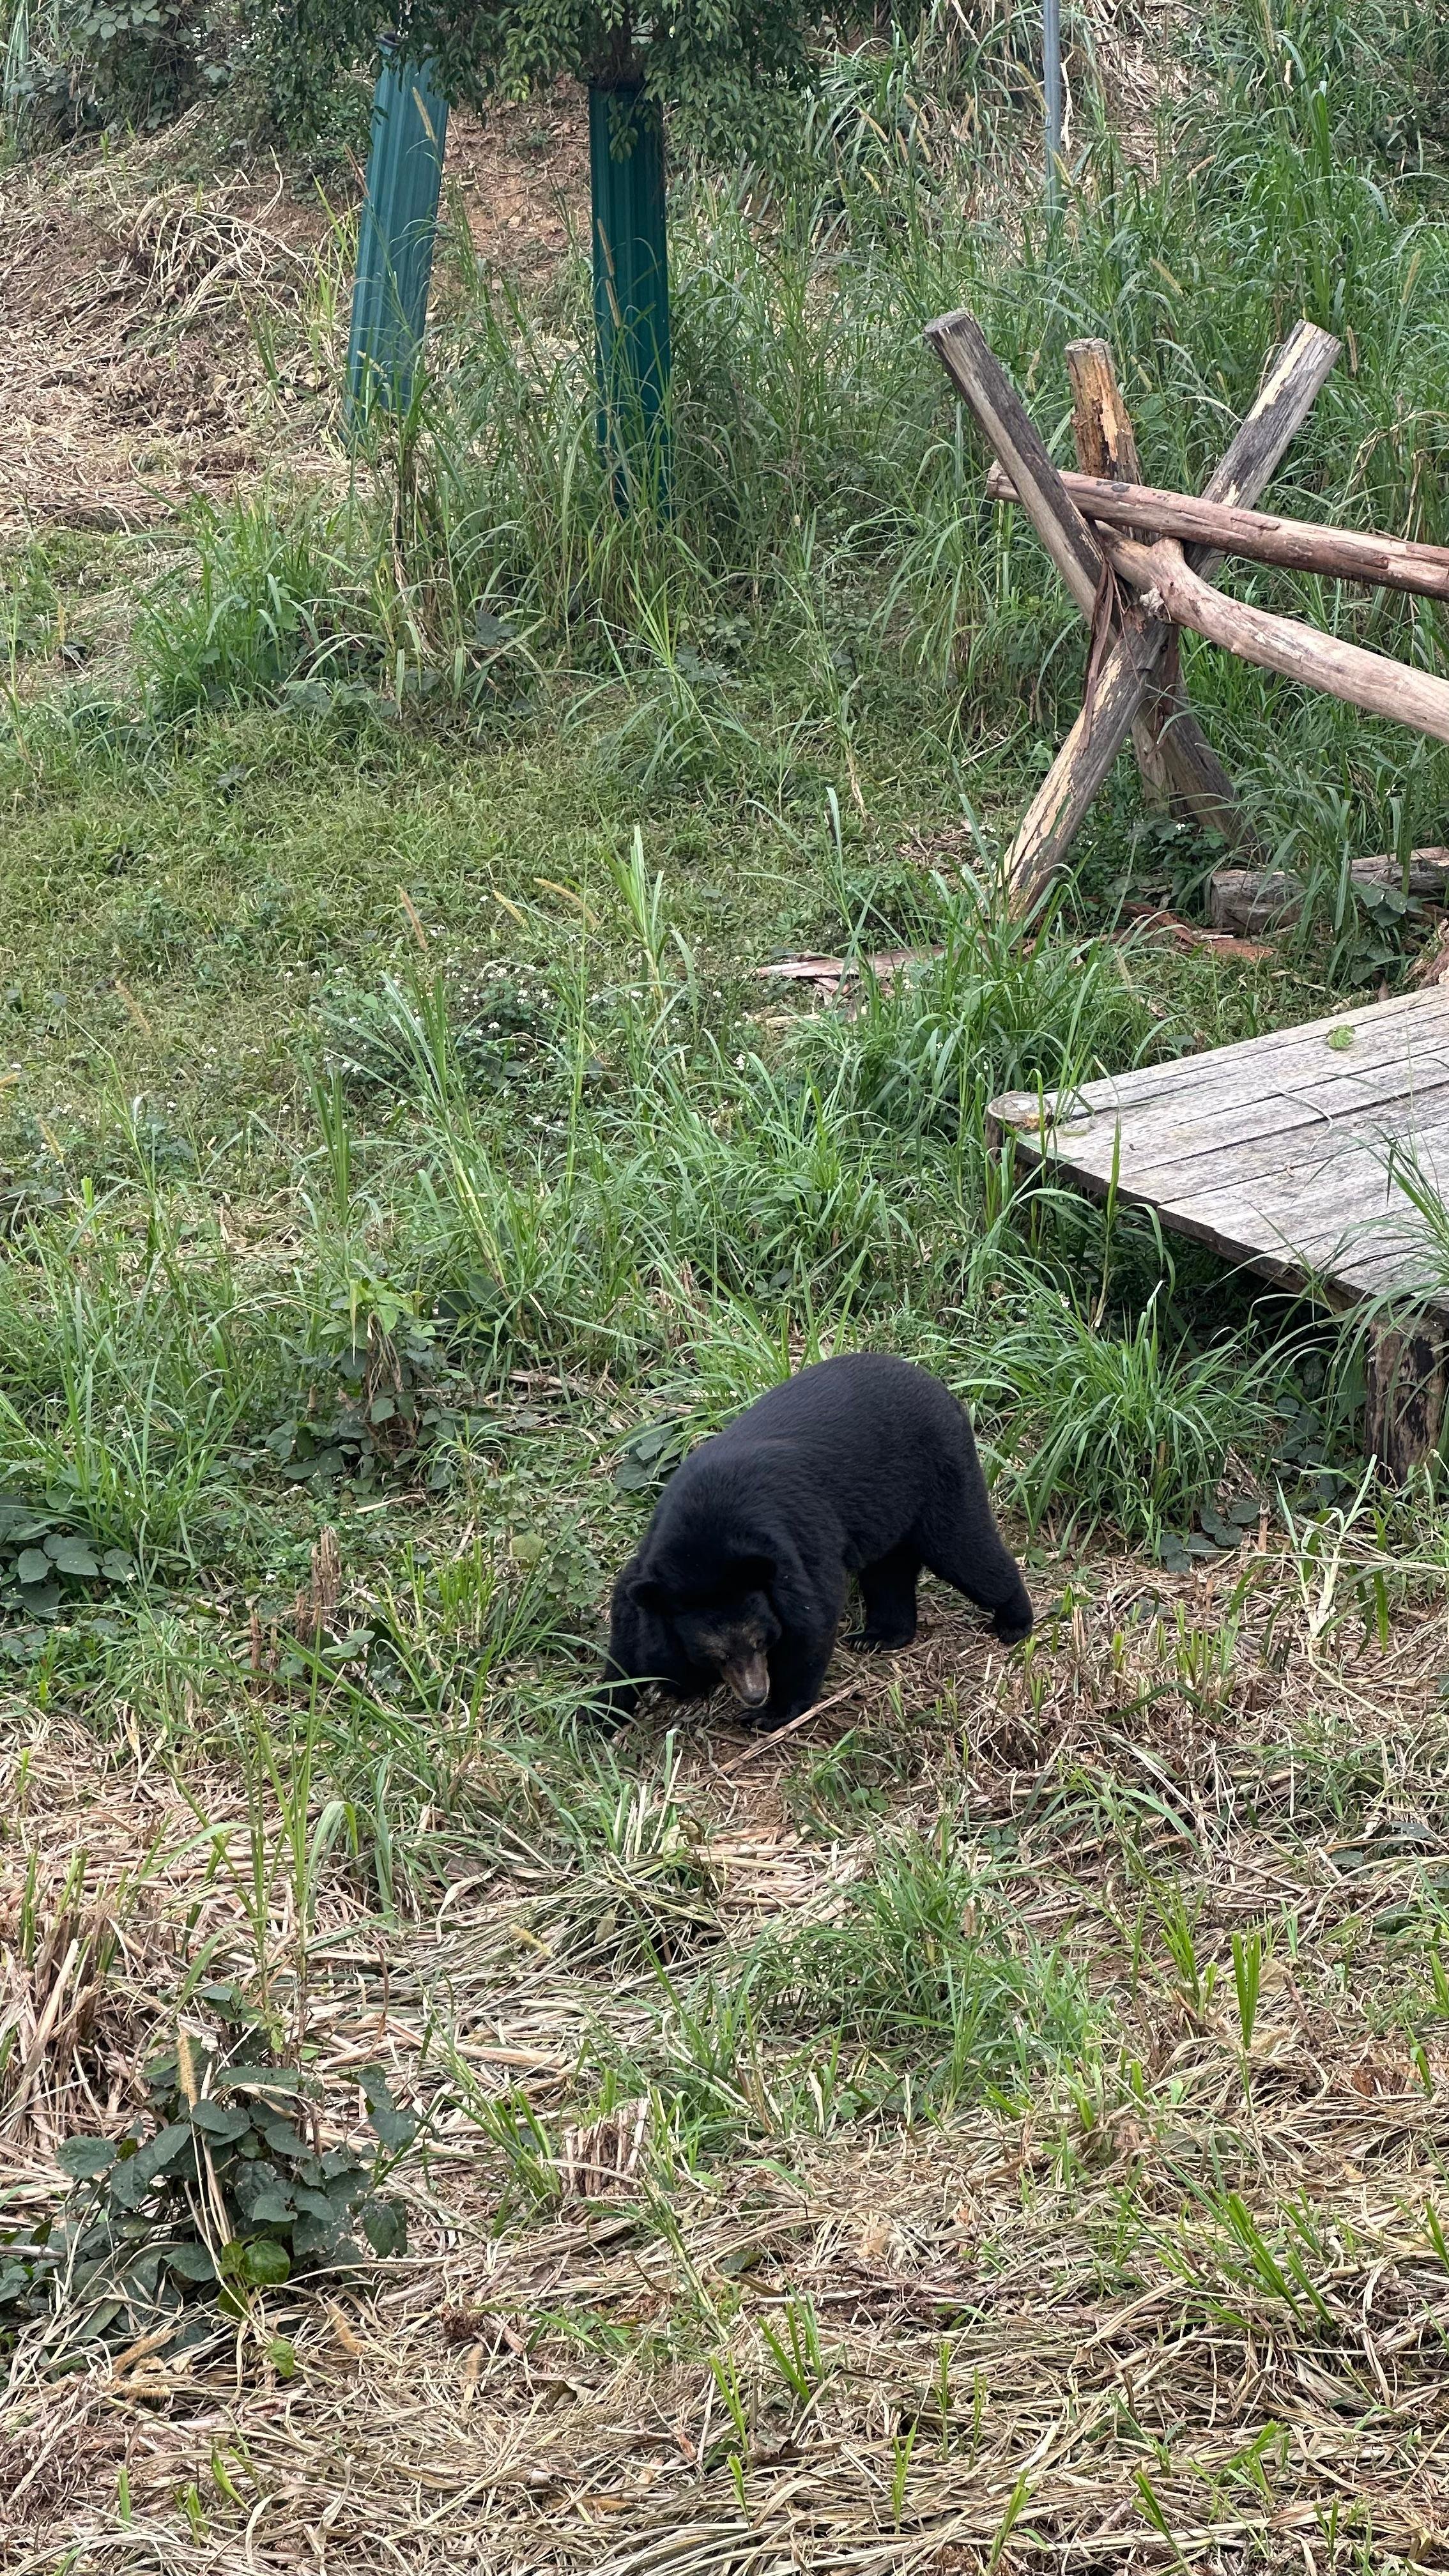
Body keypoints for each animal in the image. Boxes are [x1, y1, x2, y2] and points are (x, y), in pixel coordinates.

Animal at [595, 1352, 1032, 1730]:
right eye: (716, 1654)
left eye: (760, 1641)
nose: (755, 1693)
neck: (702, 1549)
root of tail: (939, 1386)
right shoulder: (651, 1573)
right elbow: (629, 1635)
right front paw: (602, 1711)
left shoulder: (793, 1545)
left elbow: (811, 1620)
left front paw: (771, 1713)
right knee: (889, 1570)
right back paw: (879, 1637)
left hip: (940, 1473)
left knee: (964, 1549)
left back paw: (1014, 1622)